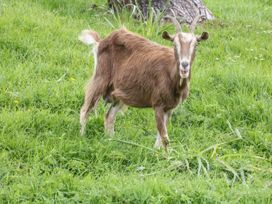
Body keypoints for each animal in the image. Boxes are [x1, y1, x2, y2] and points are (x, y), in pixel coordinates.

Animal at [78, 15, 208, 151]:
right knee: (85, 109)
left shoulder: (170, 108)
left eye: (196, 44)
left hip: (119, 92)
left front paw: (158, 152)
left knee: (109, 116)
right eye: (174, 44)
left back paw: (111, 141)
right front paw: (163, 154)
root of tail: (101, 41)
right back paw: (82, 138)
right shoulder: (158, 104)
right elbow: (164, 137)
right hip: (101, 78)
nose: (184, 65)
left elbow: (161, 136)